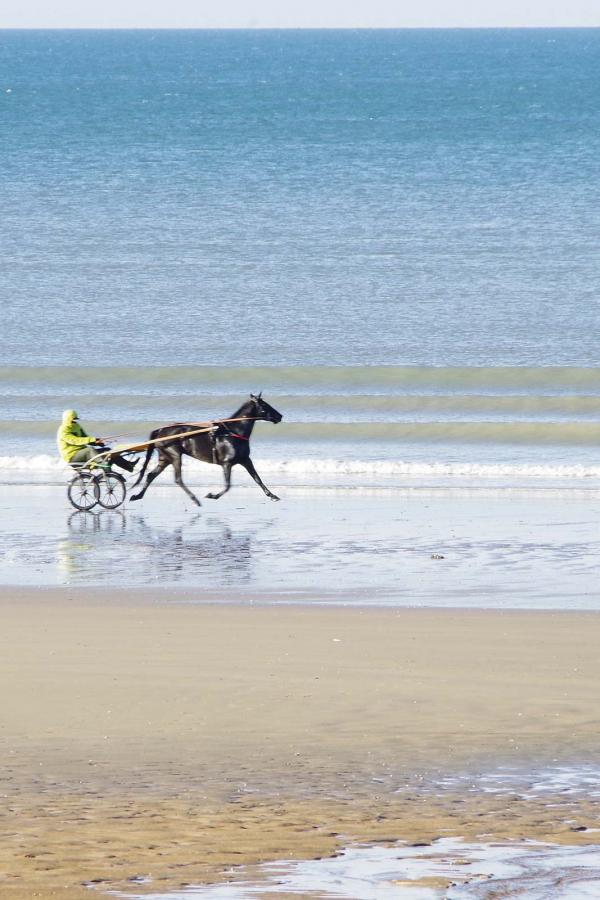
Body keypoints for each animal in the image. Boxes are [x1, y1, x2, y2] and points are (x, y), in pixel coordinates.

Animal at [129, 394, 282, 507]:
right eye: (265, 405)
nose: (280, 416)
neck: (233, 432)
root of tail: (160, 430)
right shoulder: (227, 463)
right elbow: (228, 485)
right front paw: (212, 495)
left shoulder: (245, 460)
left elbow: (258, 479)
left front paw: (273, 495)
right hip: (175, 455)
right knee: (178, 479)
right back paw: (194, 499)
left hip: (165, 458)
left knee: (151, 475)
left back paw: (137, 496)